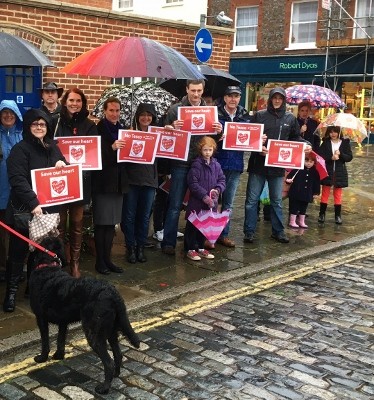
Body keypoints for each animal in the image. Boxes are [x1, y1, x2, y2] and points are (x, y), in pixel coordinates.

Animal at [28, 238, 140, 394]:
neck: (48, 266)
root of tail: (113, 294)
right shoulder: (63, 321)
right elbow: (60, 340)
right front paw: (59, 356)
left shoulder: (41, 318)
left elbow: (45, 342)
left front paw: (42, 358)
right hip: (111, 330)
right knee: (118, 355)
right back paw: (116, 376)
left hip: (94, 332)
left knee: (109, 362)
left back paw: (104, 388)